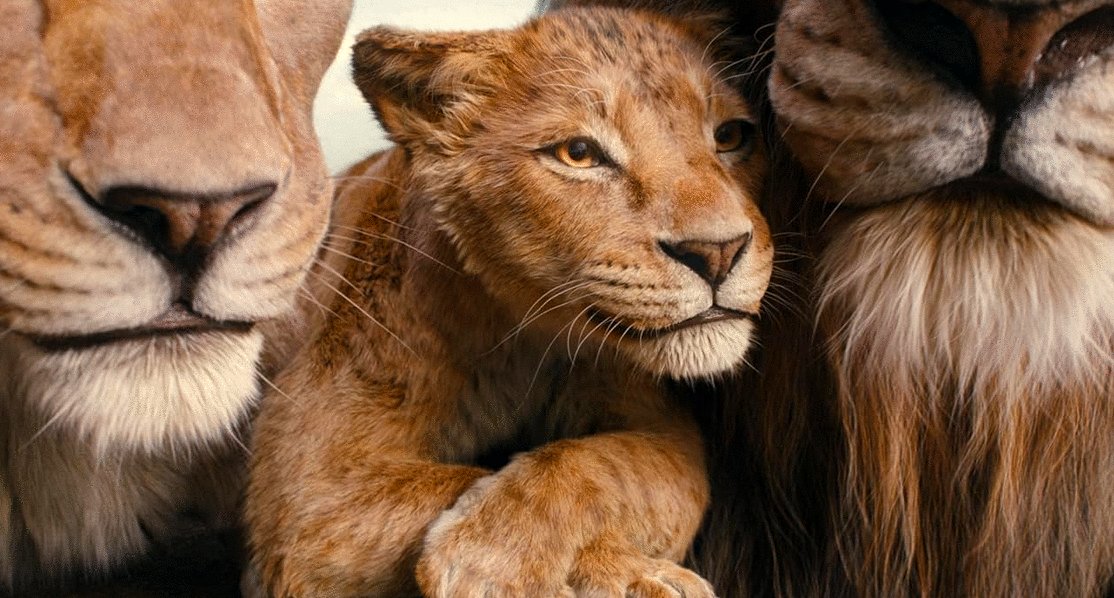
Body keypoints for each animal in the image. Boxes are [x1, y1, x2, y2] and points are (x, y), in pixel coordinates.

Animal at [243, 6, 773, 597]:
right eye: (578, 154)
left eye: (731, 135)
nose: (718, 252)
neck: (522, 338)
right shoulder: (309, 485)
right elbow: (449, 482)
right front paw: (503, 563)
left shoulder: (661, 427)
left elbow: (616, 468)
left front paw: (496, 551)